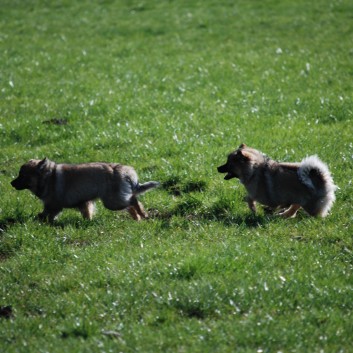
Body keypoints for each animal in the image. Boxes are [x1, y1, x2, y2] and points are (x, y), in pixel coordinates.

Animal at [11, 158, 159, 221]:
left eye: (22, 176)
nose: (11, 183)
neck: (47, 177)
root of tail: (122, 170)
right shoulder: (84, 203)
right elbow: (87, 213)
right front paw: (88, 222)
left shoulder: (53, 205)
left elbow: (46, 214)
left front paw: (41, 220)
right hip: (116, 199)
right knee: (131, 204)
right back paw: (137, 218)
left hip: (112, 202)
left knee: (133, 201)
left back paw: (142, 214)